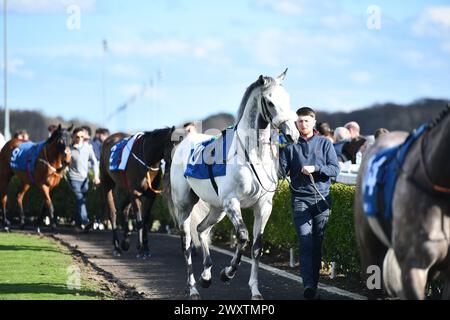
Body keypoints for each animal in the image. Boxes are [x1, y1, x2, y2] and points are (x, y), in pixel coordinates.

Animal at [100, 127, 176, 258]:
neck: (148, 161)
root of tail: (108, 139)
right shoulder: (135, 193)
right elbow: (139, 220)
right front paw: (140, 249)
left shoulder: (150, 195)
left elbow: (145, 220)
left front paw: (145, 248)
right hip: (107, 183)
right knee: (112, 213)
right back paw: (117, 247)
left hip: (126, 187)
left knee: (124, 208)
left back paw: (125, 242)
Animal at [168, 70, 298, 300]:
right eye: (270, 101)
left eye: (288, 98)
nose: (292, 134)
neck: (253, 156)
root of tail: (184, 142)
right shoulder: (232, 202)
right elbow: (243, 236)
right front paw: (227, 273)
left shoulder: (264, 206)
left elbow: (256, 246)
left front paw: (255, 290)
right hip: (185, 205)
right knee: (187, 243)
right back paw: (193, 288)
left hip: (217, 208)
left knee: (202, 229)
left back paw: (206, 276)